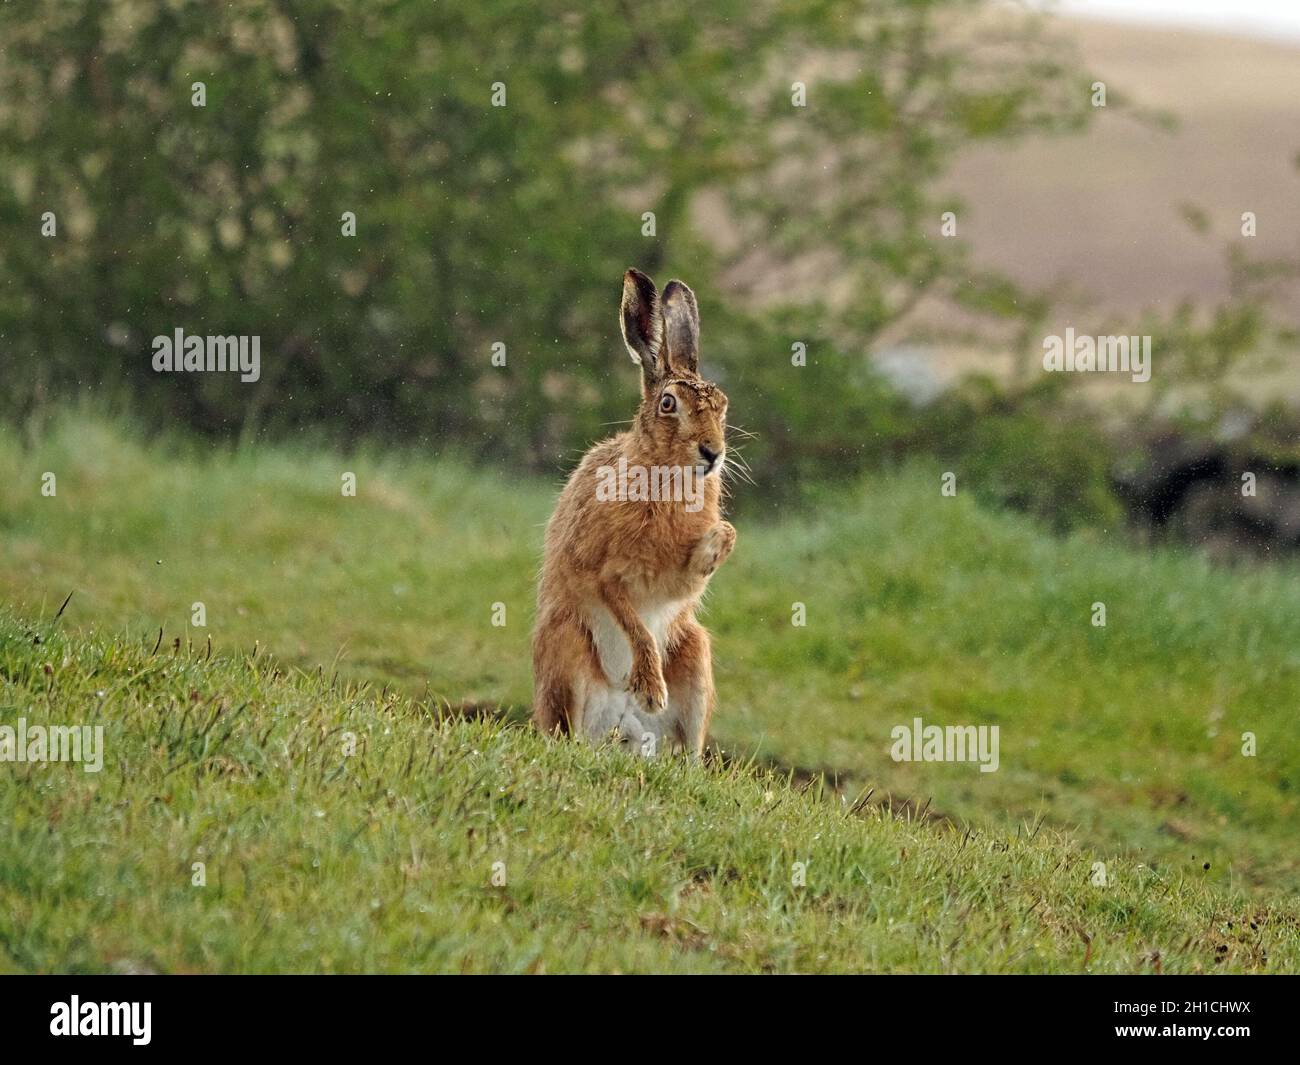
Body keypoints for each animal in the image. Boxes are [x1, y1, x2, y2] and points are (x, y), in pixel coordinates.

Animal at [532, 268, 736, 757]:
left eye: (722, 407)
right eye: (668, 404)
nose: (712, 453)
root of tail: (623, 730)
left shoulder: (676, 587)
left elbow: (702, 563)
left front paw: (716, 542)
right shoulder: (604, 572)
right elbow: (634, 623)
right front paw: (650, 689)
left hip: (696, 652)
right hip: (565, 647)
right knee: (568, 728)